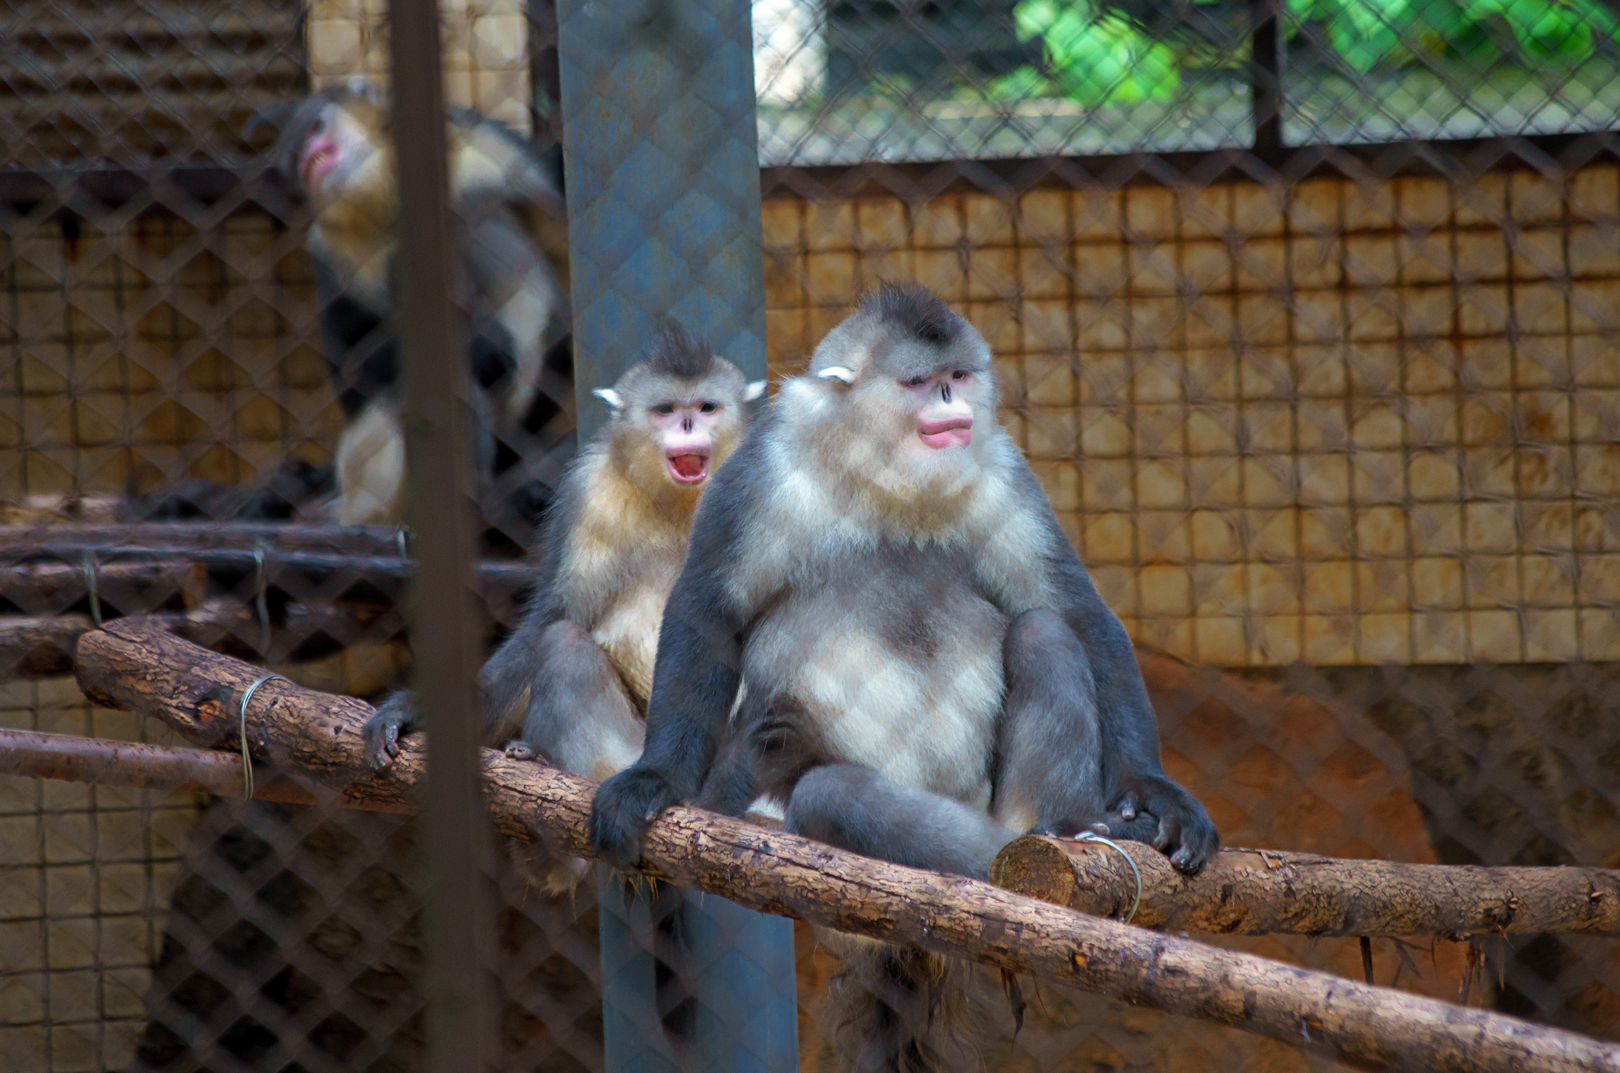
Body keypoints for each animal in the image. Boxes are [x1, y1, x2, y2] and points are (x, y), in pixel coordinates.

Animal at [588, 282, 1218, 1072]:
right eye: (920, 383)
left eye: (960, 376)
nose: (951, 404)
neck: (883, 478)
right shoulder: (762, 471)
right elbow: (708, 607)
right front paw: (657, 779)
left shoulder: (1000, 472)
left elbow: (1079, 611)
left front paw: (1154, 794)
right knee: (828, 790)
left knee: (1043, 632)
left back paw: (1069, 832)